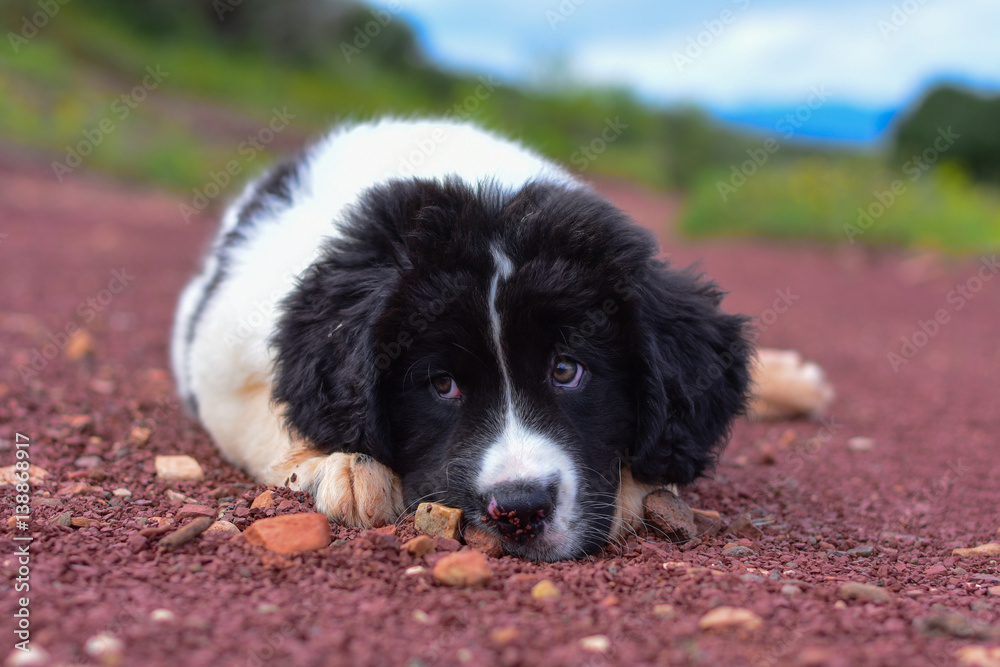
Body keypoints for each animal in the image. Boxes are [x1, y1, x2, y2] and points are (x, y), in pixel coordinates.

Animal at [170, 117, 752, 560]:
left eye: (567, 370)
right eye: (442, 384)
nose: (520, 509)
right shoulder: (223, 360)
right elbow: (268, 417)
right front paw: (342, 466)